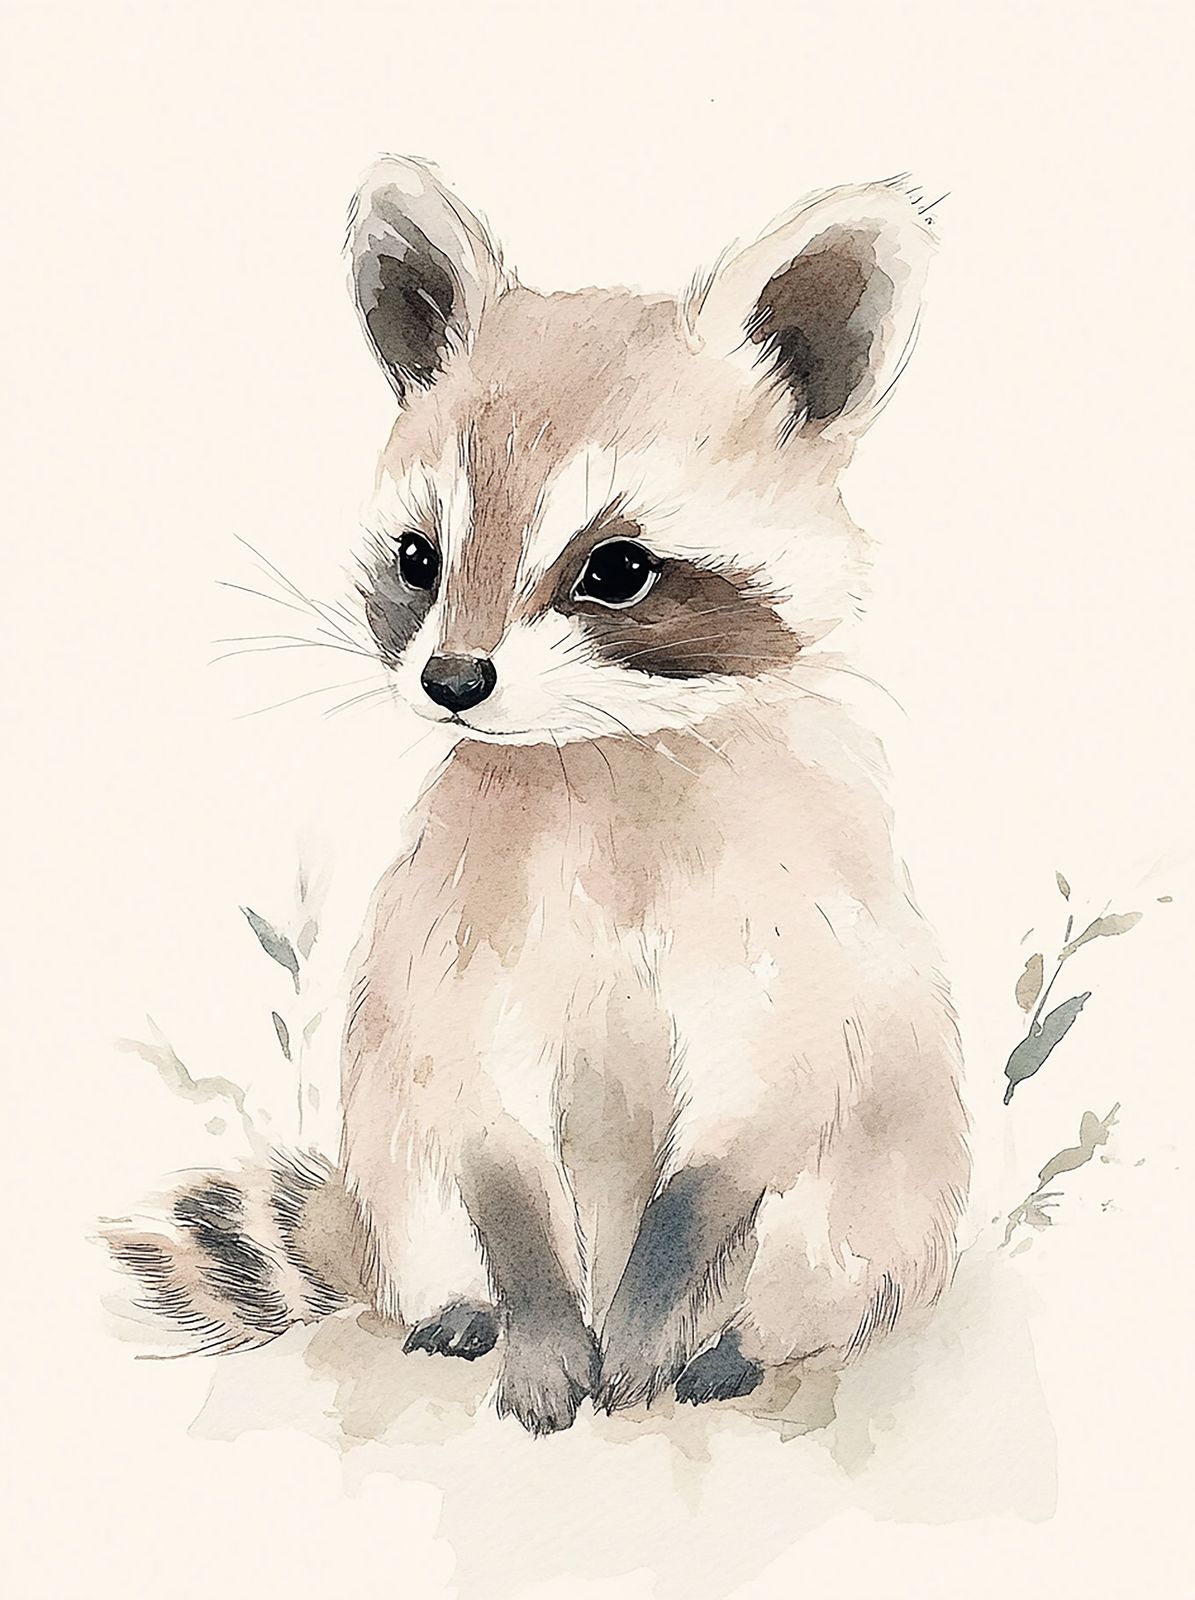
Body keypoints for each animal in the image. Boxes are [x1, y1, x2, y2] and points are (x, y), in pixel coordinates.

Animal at [107, 157, 969, 1435]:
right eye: (419, 558)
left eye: (616, 568)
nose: (453, 681)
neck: (596, 751)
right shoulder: (459, 920)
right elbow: (485, 1126)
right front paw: (545, 1324)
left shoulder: (797, 920)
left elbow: (748, 1115)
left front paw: (650, 1317)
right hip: (389, 1167)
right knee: (419, 1170)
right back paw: (467, 1307)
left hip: (890, 1188)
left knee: (830, 1235)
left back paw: (740, 1342)